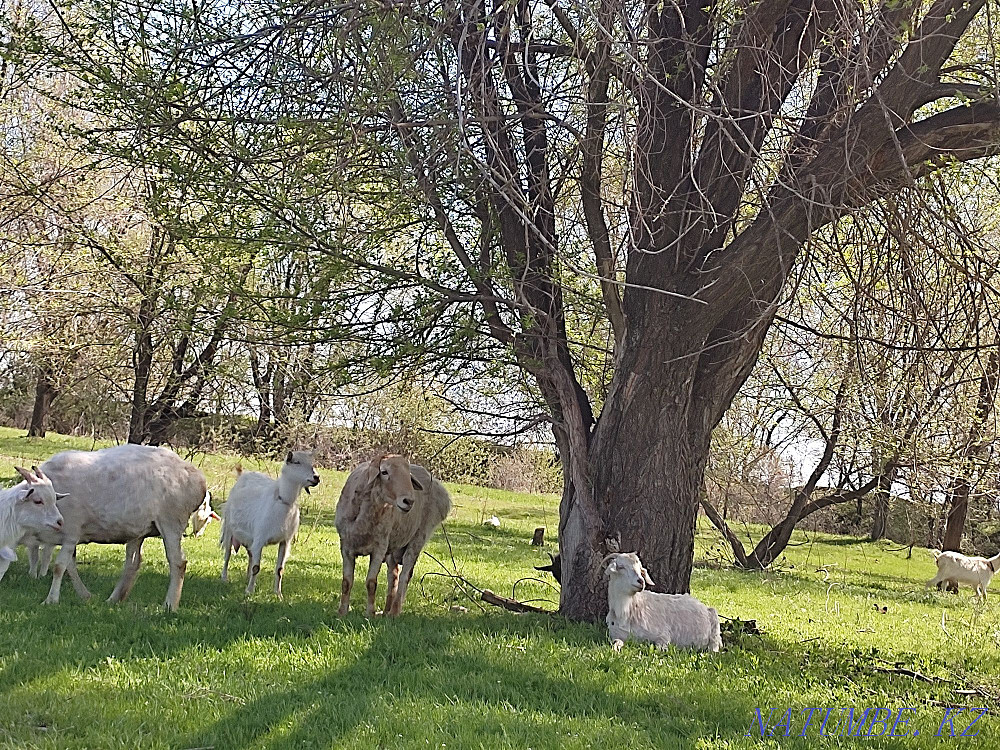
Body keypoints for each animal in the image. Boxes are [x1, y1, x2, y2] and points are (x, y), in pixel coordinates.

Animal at [26, 445, 207, 610]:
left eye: (37, 500)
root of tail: (198, 479)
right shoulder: (69, 536)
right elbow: (70, 566)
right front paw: (85, 596)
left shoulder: (71, 530)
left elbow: (60, 566)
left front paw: (51, 600)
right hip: (139, 529)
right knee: (133, 563)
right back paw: (114, 599)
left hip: (171, 521)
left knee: (178, 562)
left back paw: (170, 605)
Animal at [219, 451, 319, 598]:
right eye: (297, 462)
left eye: (312, 463)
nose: (316, 477)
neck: (282, 502)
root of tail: (243, 475)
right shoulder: (260, 539)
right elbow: (256, 568)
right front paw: (249, 592)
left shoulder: (285, 541)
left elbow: (280, 569)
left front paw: (278, 594)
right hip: (229, 529)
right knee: (227, 554)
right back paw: (224, 578)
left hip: (250, 538)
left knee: (250, 555)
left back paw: (246, 578)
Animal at [335, 454, 451, 617]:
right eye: (384, 472)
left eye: (408, 475)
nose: (409, 501)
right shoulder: (345, 547)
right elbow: (346, 582)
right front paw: (342, 612)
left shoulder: (379, 548)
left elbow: (371, 582)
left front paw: (370, 614)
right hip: (394, 547)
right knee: (393, 575)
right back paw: (385, 611)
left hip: (419, 536)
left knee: (404, 576)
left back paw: (394, 612)